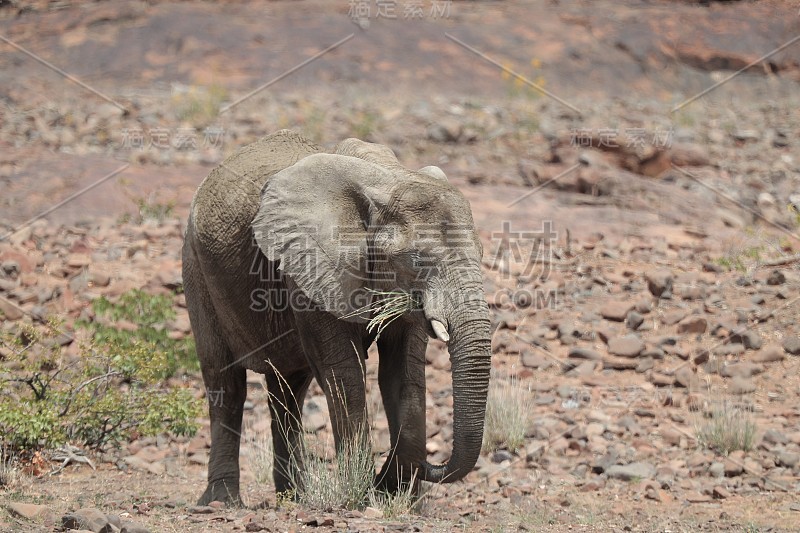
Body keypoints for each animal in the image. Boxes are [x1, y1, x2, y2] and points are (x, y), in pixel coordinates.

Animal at [183, 128, 494, 502]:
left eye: (481, 252)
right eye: (419, 261)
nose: (431, 464)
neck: (388, 179)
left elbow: (402, 371)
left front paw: (399, 496)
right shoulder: (312, 269)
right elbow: (344, 371)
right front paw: (361, 496)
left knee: (288, 391)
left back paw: (294, 497)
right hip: (195, 266)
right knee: (225, 384)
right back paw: (222, 501)